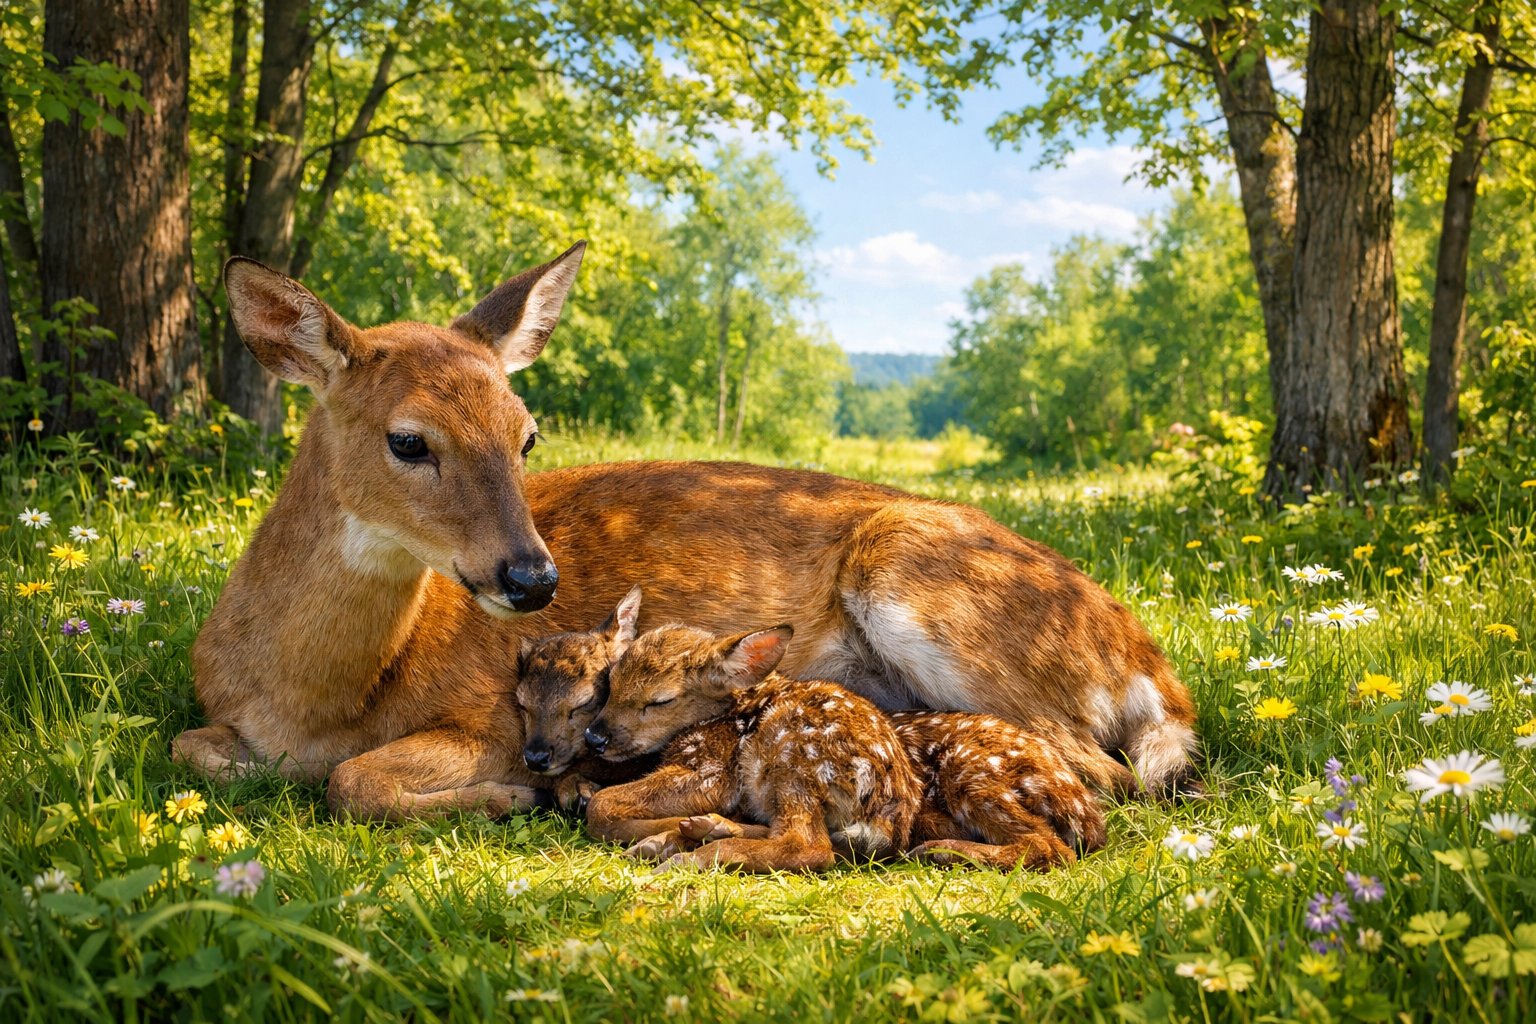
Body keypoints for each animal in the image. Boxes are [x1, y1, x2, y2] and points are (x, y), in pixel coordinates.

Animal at [172, 240, 1199, 821]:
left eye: (527, 433)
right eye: (408, 439)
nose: (533, 580)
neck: (318, 693)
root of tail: (1149, 663)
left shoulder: (491, 713)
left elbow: (351, 782)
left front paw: (507, 796)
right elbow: (192, 749)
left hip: (923, 583)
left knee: (1099, 764)